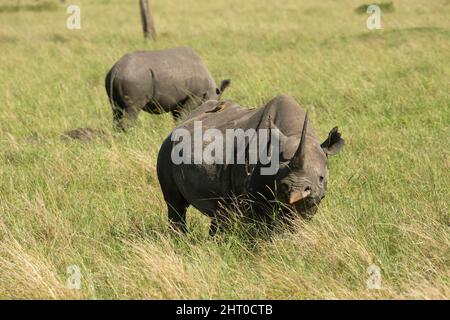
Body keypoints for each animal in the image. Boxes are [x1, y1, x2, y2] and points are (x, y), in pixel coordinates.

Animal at [157, 95, 344, 235]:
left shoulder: (313, 199)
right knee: (175, 203)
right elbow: (259, 226)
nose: (294, 190)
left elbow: (296, 223)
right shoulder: (252, 195)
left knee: (221, 210)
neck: (294, 133)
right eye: (278, 175)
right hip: (167, 148)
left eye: (321, 178)